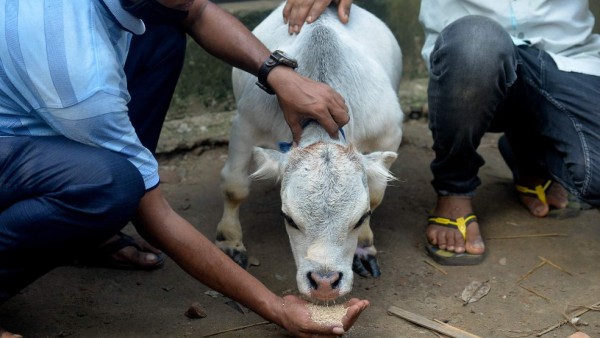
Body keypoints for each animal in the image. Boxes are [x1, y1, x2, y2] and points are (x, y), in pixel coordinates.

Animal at [216, 3, 404, 302]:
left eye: (360, 218)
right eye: (289, 219)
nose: (325, 282)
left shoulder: (389, 133)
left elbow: (375, 195)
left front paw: (364, 246)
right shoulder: (246, 125)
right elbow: (235, 187)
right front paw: (230, 241)